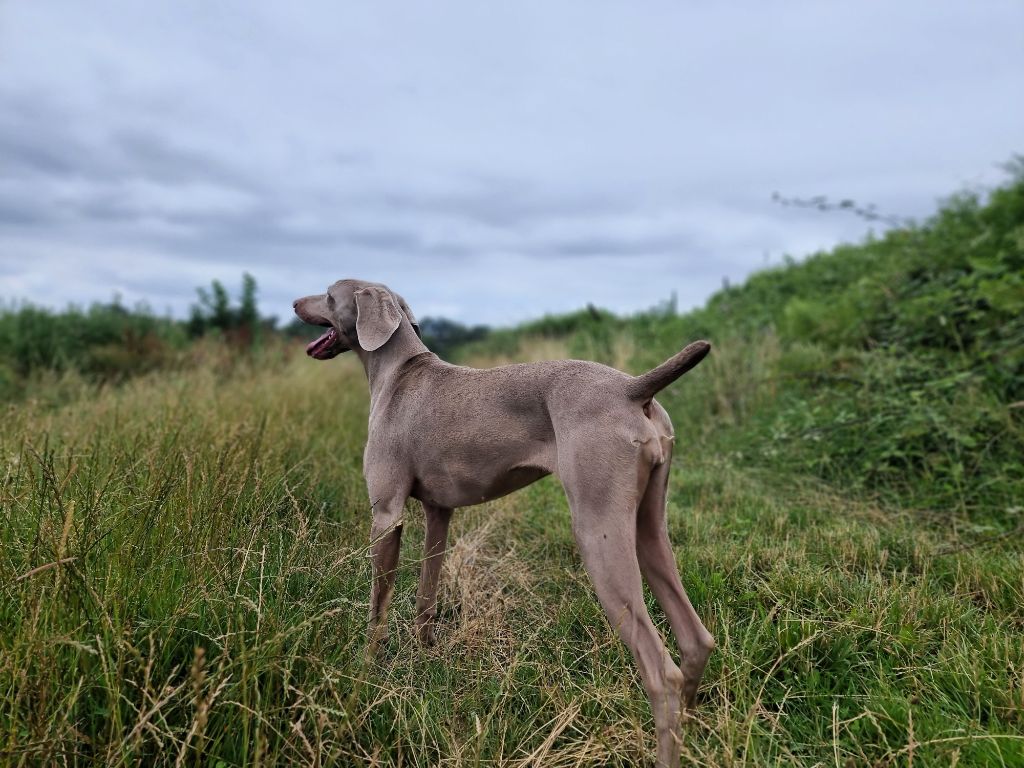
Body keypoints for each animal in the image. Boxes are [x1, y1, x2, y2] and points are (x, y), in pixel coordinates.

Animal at [292, 280, 716, 765]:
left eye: (328, 295)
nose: (294, 302)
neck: (399, 372)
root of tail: (631, 388)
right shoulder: (439, 512)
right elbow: (426, 596)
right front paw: (426, 659)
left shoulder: (386, 514)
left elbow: (377, 607)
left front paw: (365, 671)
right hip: (648, 525)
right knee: (697, 639)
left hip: (598, 531)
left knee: (662, 672)